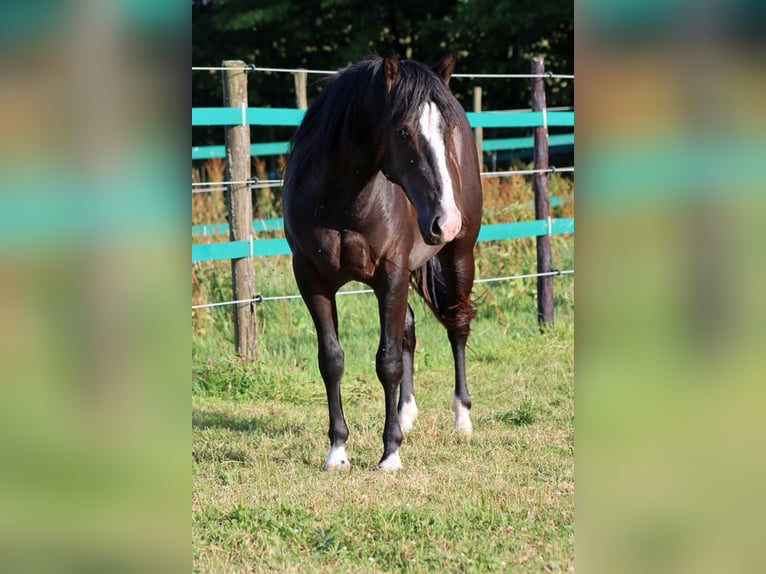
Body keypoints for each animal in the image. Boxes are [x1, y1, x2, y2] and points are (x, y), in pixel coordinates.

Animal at [283, 52, 482, 470]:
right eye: (403, 132)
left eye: (446, 130)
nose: (445, 221)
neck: (342, 201)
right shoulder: (312, 279)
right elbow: (332, 360)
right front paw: (337, 451)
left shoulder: (390, 274)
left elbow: (387, 362)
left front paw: (390, 452)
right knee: (408, 328)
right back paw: (406, 413)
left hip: (459, 255)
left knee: (457, 324)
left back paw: (462, 418)